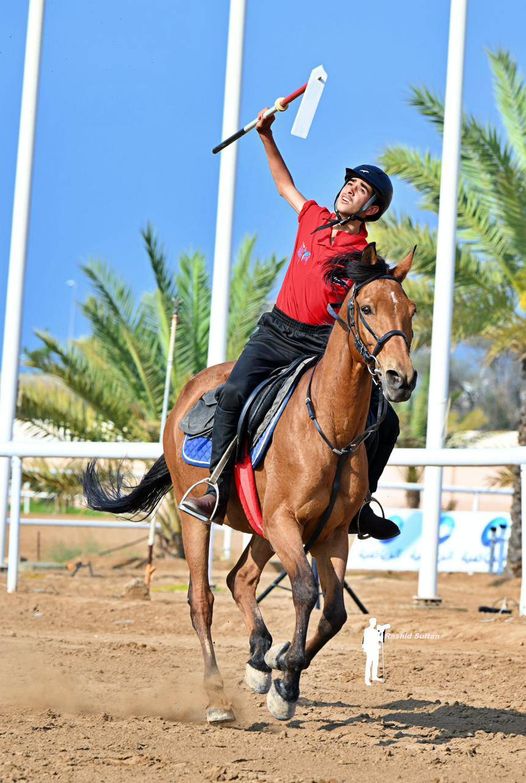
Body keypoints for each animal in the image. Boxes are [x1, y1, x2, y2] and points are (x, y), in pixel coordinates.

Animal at [84, 243, 418, 724]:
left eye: (410, 311)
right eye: (368, 307)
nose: (400, 379)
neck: (329, 426)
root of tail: (186, 394)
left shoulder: (331, 535)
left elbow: (334, 612)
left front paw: (282, 670)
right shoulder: (285, 523)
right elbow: (305, 591)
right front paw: (287, 680)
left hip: (263, 529)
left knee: (239, 579)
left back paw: (260, 659)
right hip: (203, 520)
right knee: (201, 599)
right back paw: (218, 698)